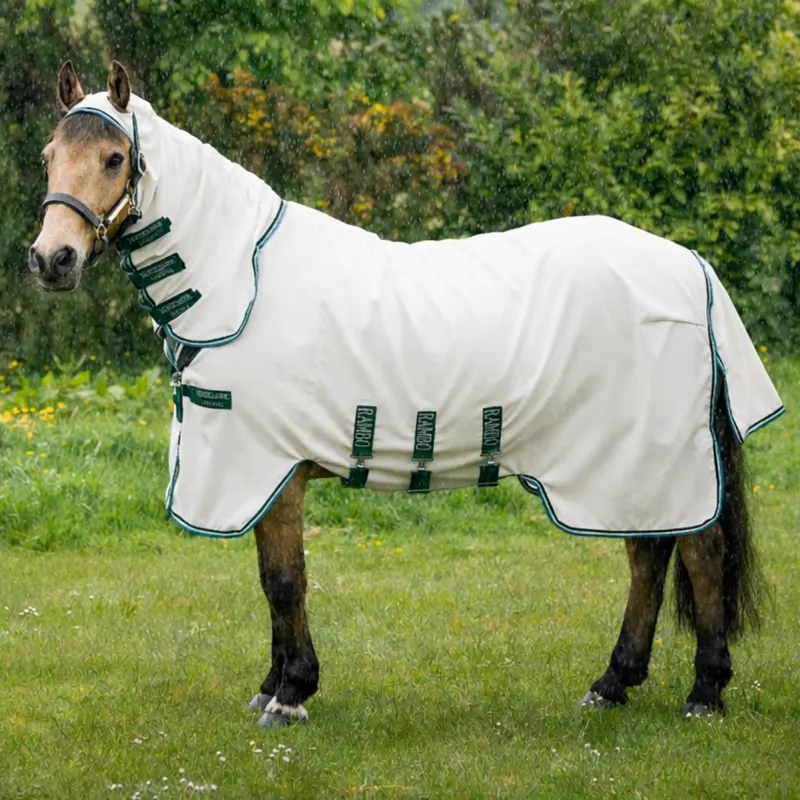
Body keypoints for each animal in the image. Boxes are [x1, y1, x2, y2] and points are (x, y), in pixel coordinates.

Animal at [29, 61, 784, 728]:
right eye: (48, 156)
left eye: (115, 158)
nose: (51, 259)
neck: (241, 284)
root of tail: (689, 265)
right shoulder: (263, 475)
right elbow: (271, 581)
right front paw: (273, 684)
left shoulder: (274, 468)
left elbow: (285, 580)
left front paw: (291, 695)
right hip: (626, 461)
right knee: (649, 555)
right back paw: (612, 683)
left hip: (656, 454)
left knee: (700, 554)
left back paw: (704, 693)